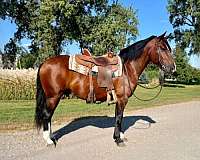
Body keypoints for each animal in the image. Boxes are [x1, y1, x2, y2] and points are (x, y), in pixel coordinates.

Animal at [35, 32, 176, 146]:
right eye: (163, 48)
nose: (173, 67)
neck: (127, 68)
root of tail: (44, 63)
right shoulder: (122, 99)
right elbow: (119, 118)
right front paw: (118, 139)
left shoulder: (119, 100)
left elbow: (119, 117)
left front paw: (120, 136)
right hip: (53, 97)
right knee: (47, 115)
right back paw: (49, 140)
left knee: (49, 116)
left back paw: (52, 137)